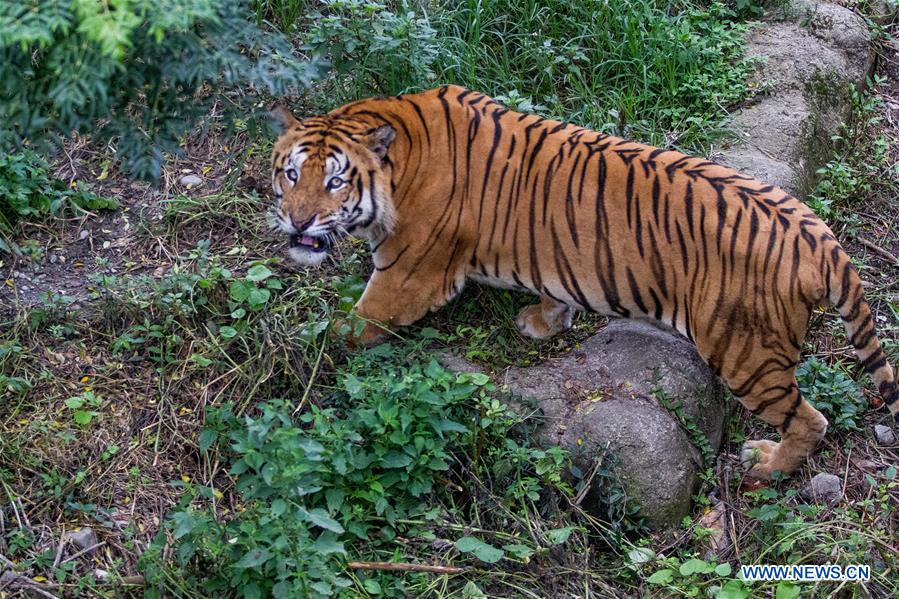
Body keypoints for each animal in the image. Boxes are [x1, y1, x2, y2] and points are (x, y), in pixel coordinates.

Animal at [270, 85, 898, 480]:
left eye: (335, 183)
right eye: (291, 173)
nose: (296, 222)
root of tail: (819, 236)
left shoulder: (406, 276)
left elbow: (352, 326)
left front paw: (302, 355)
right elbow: (554, 284)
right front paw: (544, 321)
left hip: (748, 355)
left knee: (810, 419)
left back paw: (767, 466)